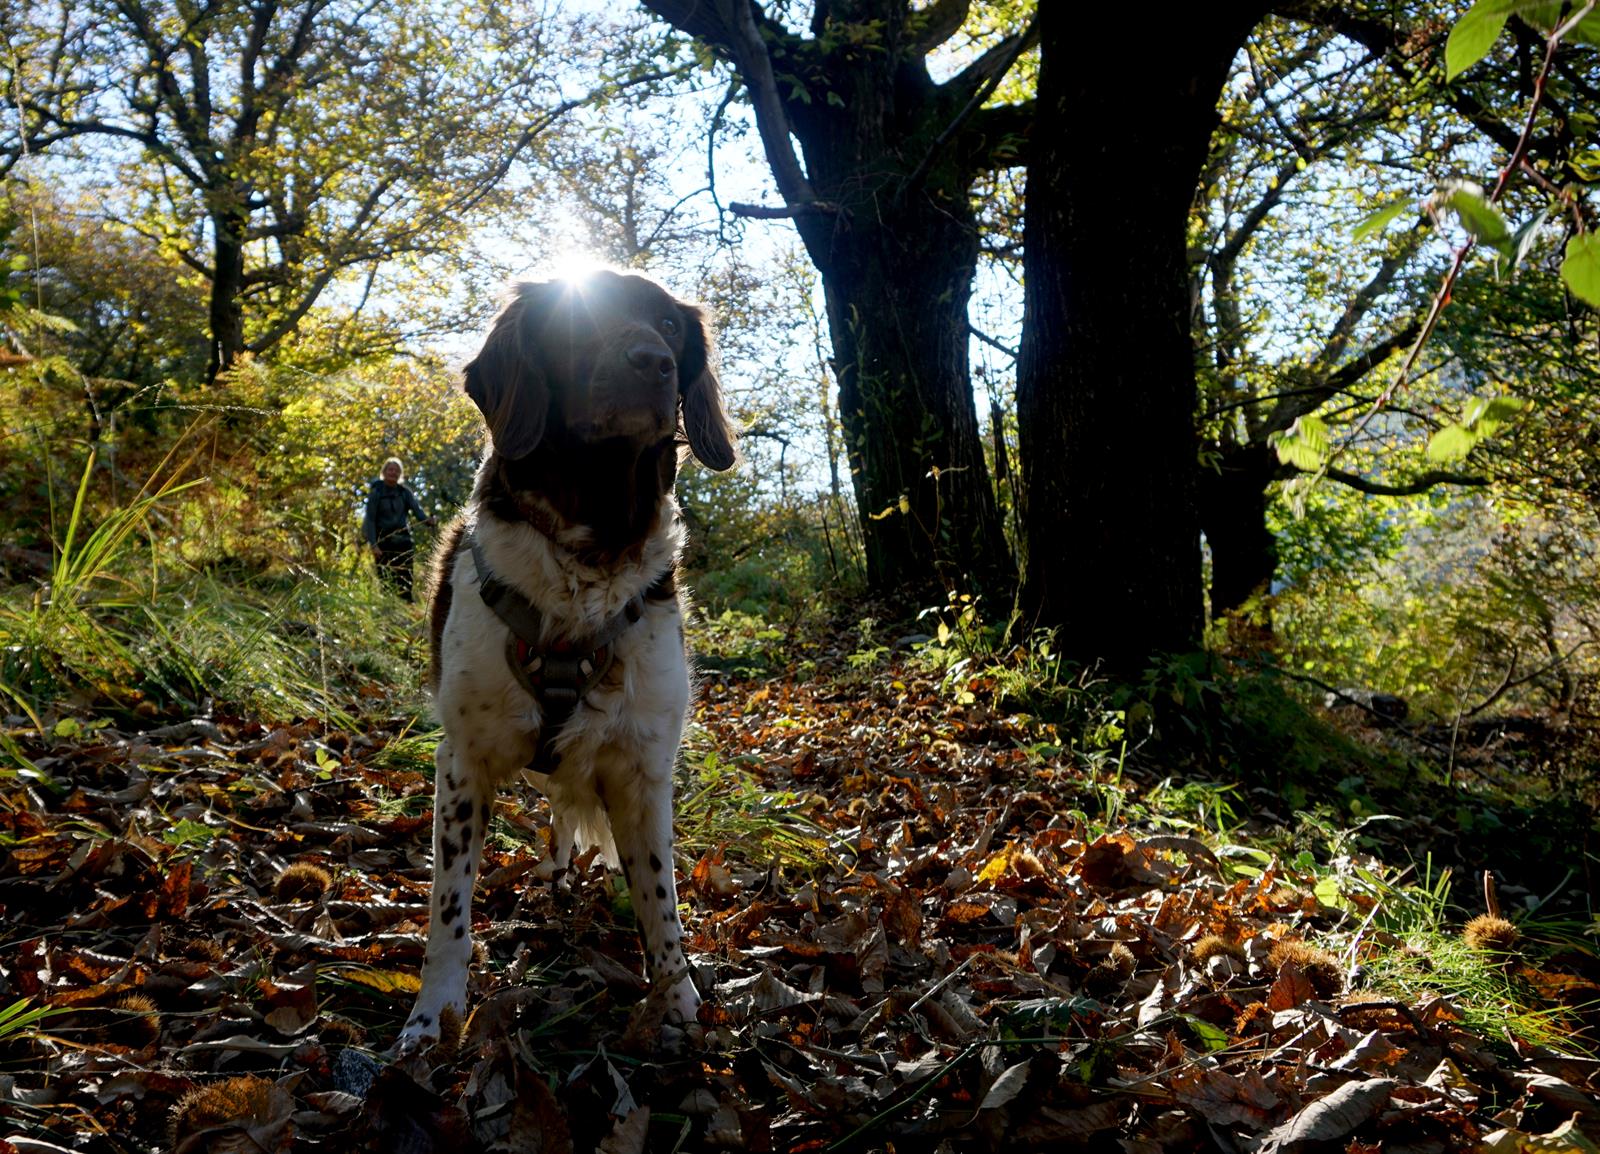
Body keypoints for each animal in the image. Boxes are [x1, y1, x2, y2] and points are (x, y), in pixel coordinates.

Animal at [396, 270, 732, 1056]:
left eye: (670, 327)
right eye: (581, 319)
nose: (654, 363)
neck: (591, 547)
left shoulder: (643, 768)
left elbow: (660, 900)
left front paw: (680, 1007)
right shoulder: (462, 761)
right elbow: (449, 912)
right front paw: (432, 1019)